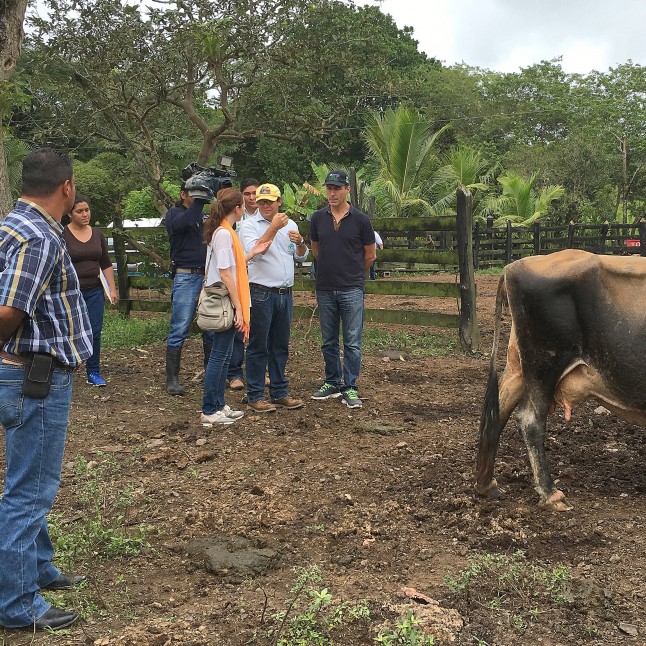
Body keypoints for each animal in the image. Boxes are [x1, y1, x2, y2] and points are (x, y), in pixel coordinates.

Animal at [476, 251, 646, 512]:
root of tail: (512, 267)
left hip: (519, 366)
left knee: (498, 410)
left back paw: (486, 484)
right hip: (544, 364)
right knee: (530, 420)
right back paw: (550, 493)